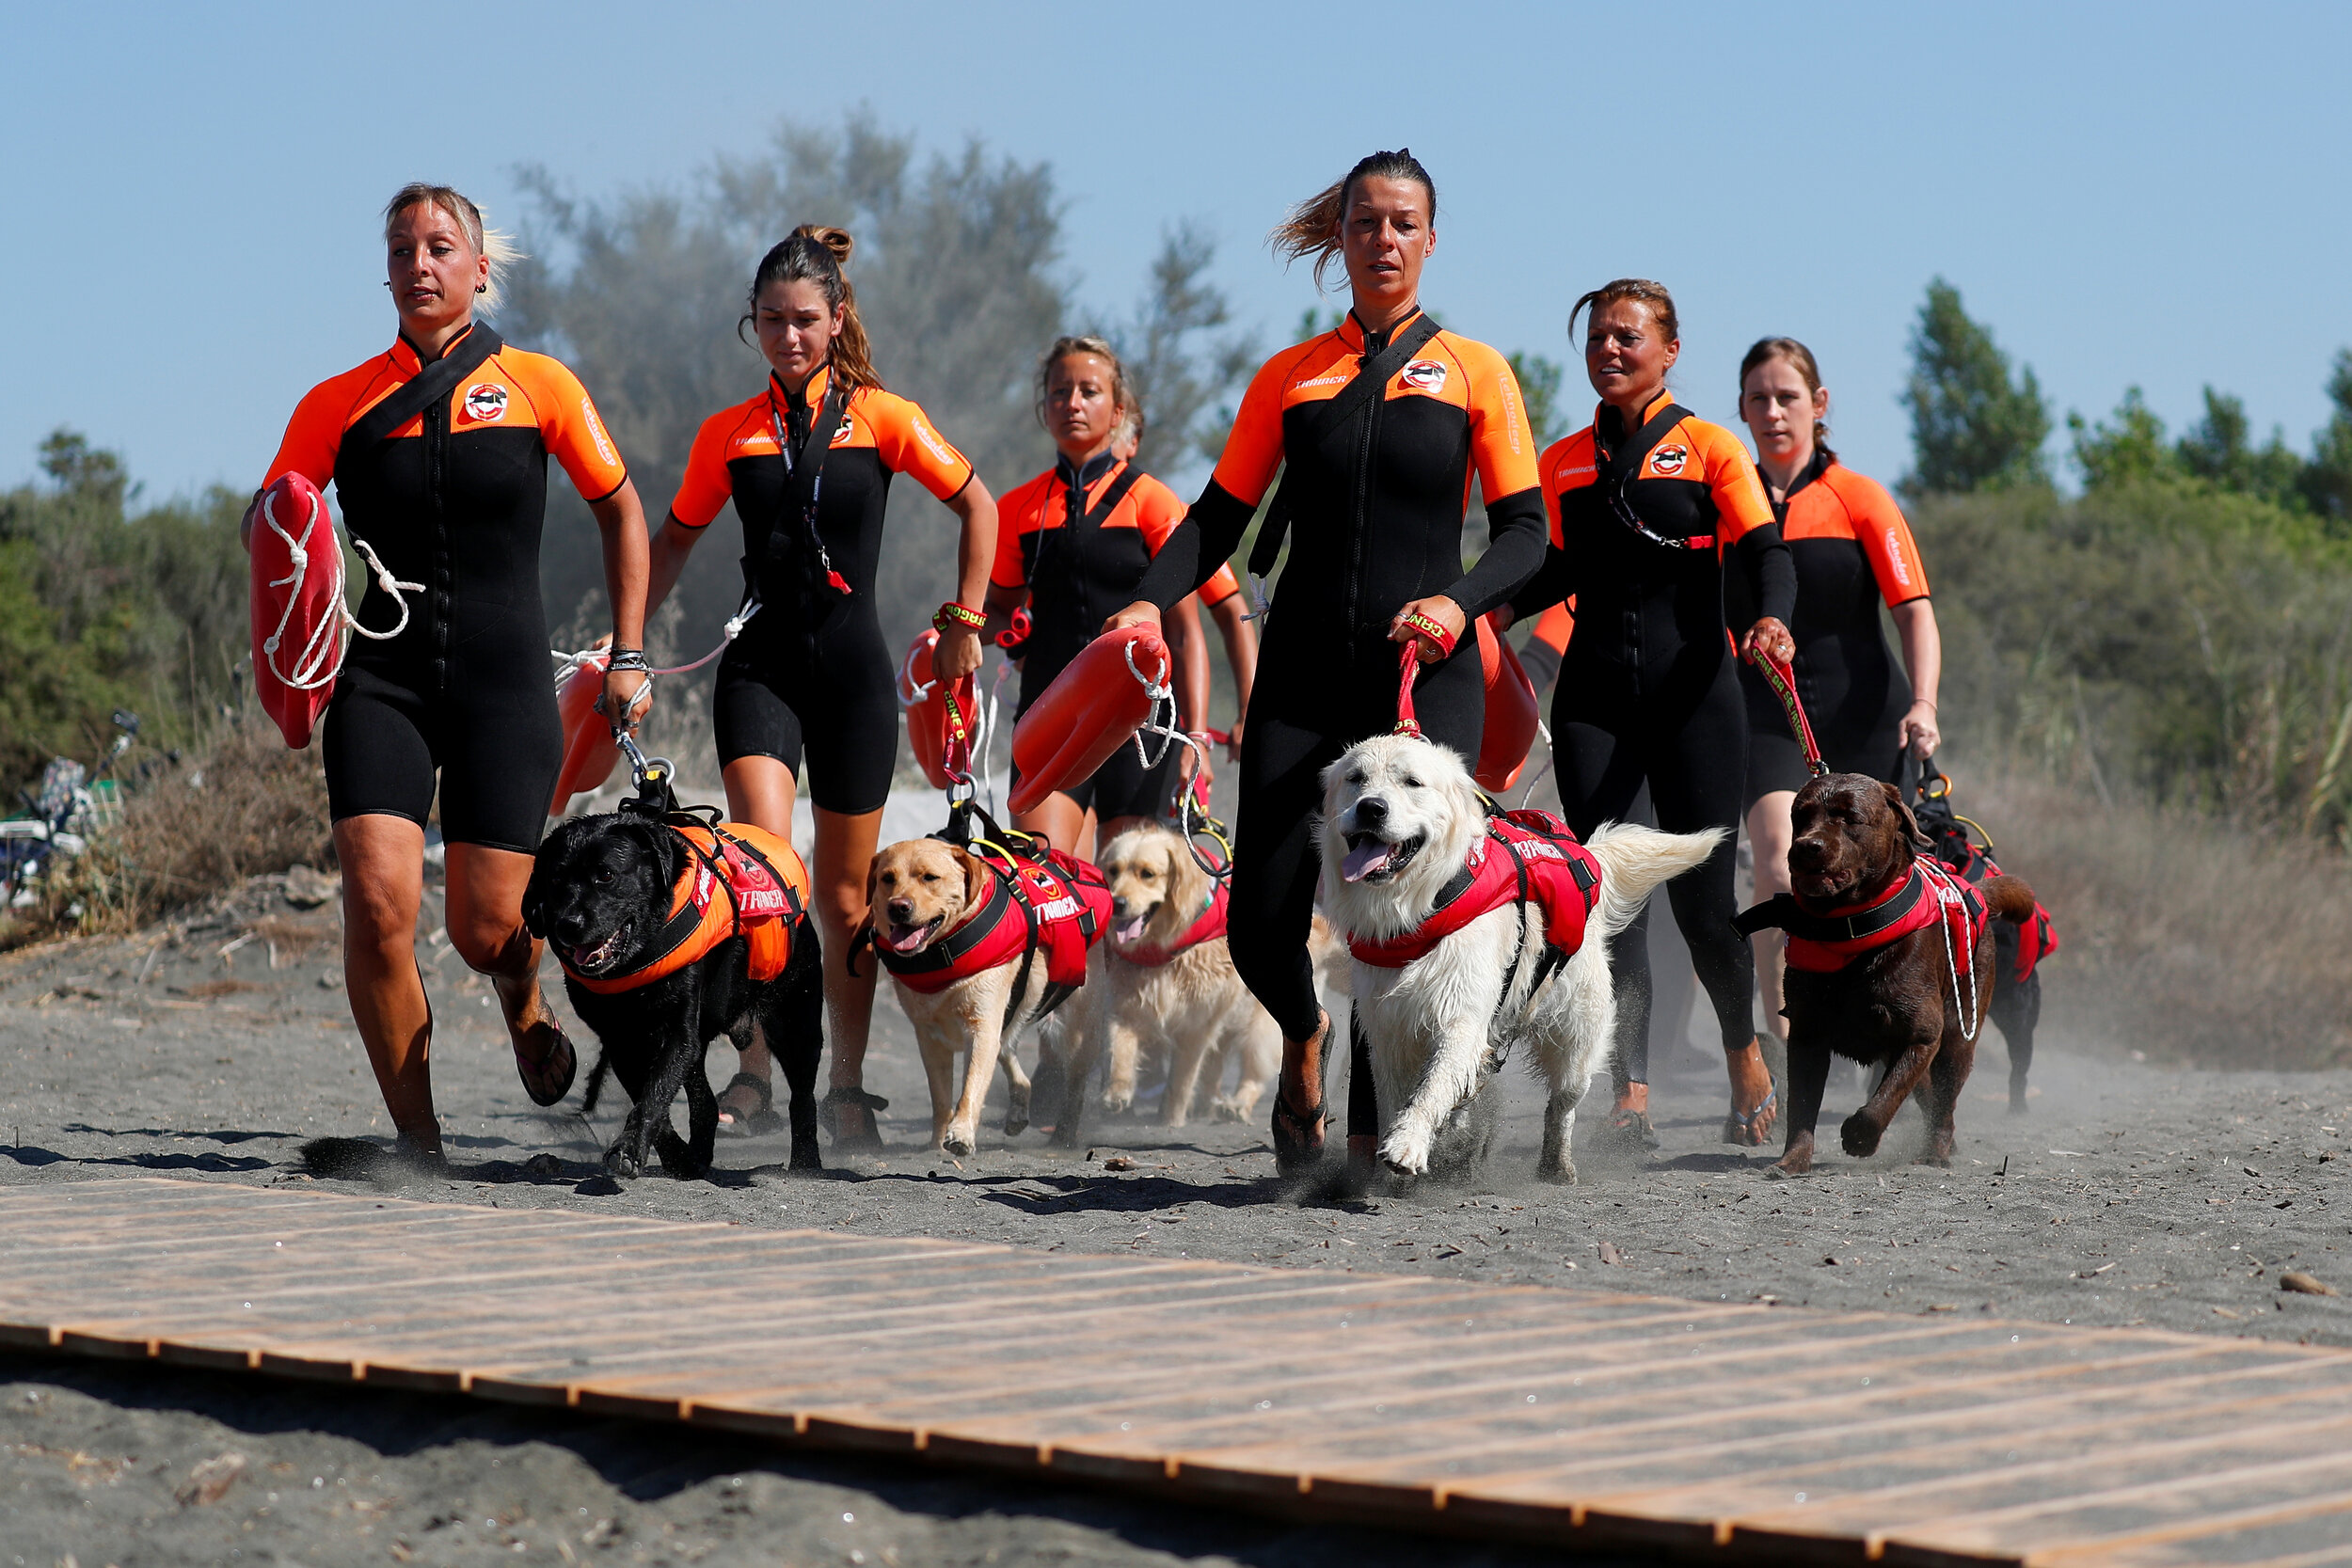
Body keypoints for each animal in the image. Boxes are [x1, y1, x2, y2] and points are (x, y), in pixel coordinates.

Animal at [527, 817, 828, 1184]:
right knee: (706, 1103)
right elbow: (651, 1097)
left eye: (607, 874)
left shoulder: (678, 1033)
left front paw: (629, 1149)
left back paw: (806, 1163)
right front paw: (677, 1159)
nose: (569, 924)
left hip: (795, 1023)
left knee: (802, 1098)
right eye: (555, 878)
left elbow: (654, 1093)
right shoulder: (622, 1042)